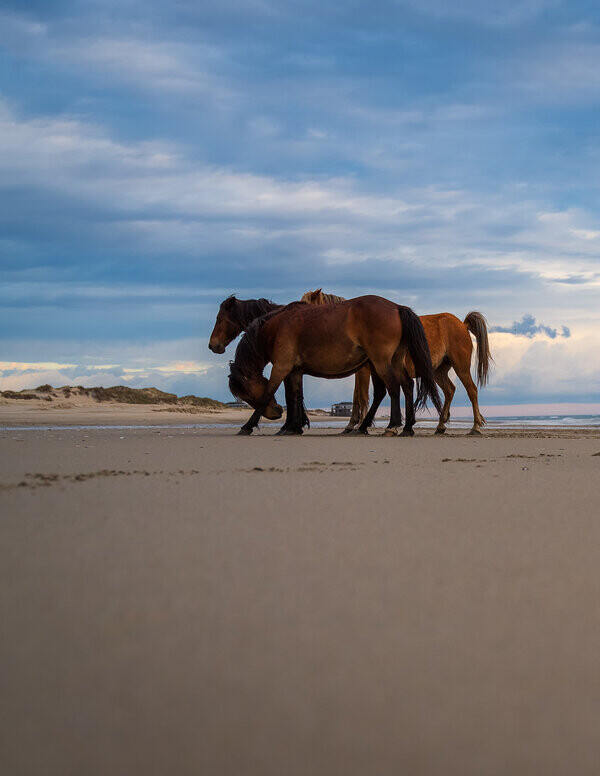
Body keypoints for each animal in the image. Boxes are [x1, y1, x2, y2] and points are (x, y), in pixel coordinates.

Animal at [228, 295, 443, 436]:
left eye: (246, 394)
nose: (277, 412)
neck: (276, 327)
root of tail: (397, 307)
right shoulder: (295, 371)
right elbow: (295, 396)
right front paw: (293, 427)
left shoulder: (281, 367)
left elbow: (268, 394)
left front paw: (247, 426)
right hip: (394, 361)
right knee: (406, 385)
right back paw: (407, 428)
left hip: (381, 362)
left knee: (393, 387)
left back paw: (392, 426)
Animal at [303, 288, 492, 435]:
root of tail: (462, 324)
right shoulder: (363, 371)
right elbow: (357, 396)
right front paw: (353, 424)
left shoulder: (365, 370)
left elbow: (361, 397)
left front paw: (358, 425)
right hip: (438, 371)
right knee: (449, 391)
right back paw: (440, 426)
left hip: (461, 367)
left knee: (472, 390)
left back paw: (475, 427)